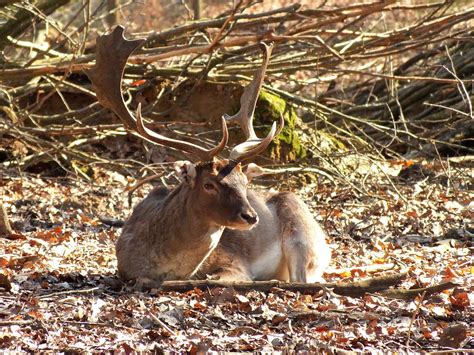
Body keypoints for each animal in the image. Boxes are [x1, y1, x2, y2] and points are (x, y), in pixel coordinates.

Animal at [88, 25, 330, 286]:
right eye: (209, 184)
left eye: (244, 183)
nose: (251, 217)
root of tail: (326, 242)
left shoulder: (236, 264)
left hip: (302, 236)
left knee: (301, 277)